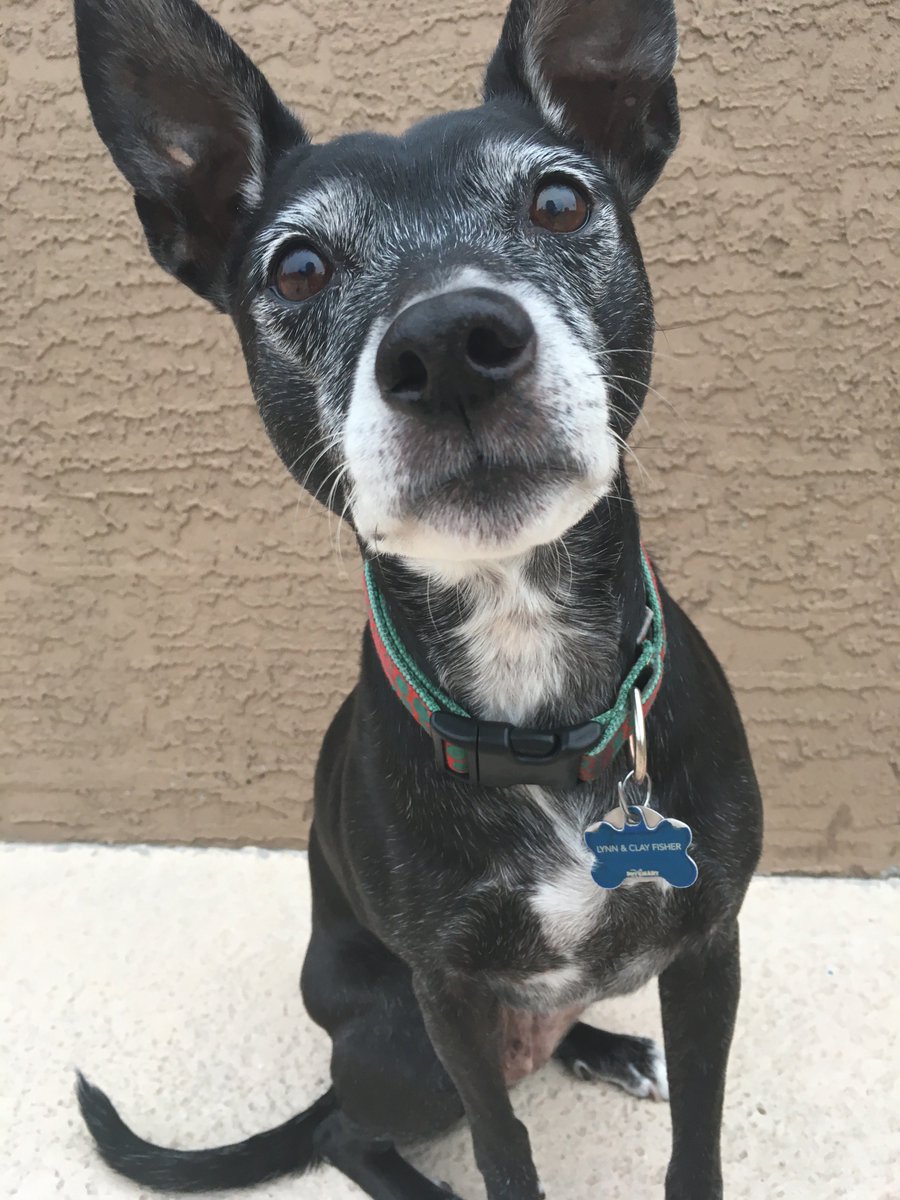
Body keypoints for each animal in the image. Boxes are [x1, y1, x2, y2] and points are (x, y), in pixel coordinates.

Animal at [72, 0, 763, 1195]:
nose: (448, 345)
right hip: (404, 1050)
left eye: (559, 200)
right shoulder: (446, 994)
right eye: (297, 267)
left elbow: (699, 1140)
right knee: (346, 1132)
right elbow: (503, 1145)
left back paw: (609, 1046)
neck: (526, 669)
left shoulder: (709, 947)